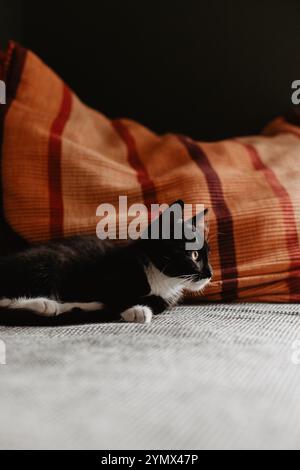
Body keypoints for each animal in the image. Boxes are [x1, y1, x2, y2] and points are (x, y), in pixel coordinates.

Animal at [0, 200, 212, 324]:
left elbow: (157, 302)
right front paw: (135, 310)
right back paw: (45, 304)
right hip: (51, 260)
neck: (161, 279)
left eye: (208, 254)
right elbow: (113, 295)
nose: (210, 274)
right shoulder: (106, 269)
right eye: (194, 255)